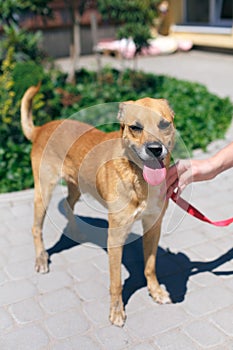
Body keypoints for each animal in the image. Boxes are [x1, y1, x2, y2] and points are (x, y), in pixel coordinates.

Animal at [20, 85, 175, 328]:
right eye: (135, 127)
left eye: (164, 124)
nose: (155, 149)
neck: (139, 179)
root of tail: (42, 128)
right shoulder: (116, 236)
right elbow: (116, 282)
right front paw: (117, 311)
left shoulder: (153, 227)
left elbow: (150, 267)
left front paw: (156, 291)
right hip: (43, 192)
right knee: (36, 228)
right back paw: (41, 259)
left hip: (77, 186)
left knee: (68, 205)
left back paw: (74, 232)